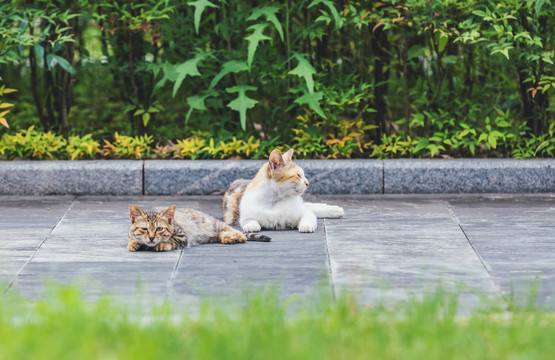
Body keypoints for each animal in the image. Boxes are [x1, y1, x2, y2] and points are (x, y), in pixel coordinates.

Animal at [129, 204, 272, 252]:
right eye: (144, 229)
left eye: (159, 229)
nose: (152, 238)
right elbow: (131, 238)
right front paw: (133, 243)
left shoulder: (182, 235)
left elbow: (171, 240)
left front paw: (162, 244)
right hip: (210, 236)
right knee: (220, 235)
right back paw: (228, 238)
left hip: (215, 223)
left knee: (231, 229)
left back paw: (238, 236)